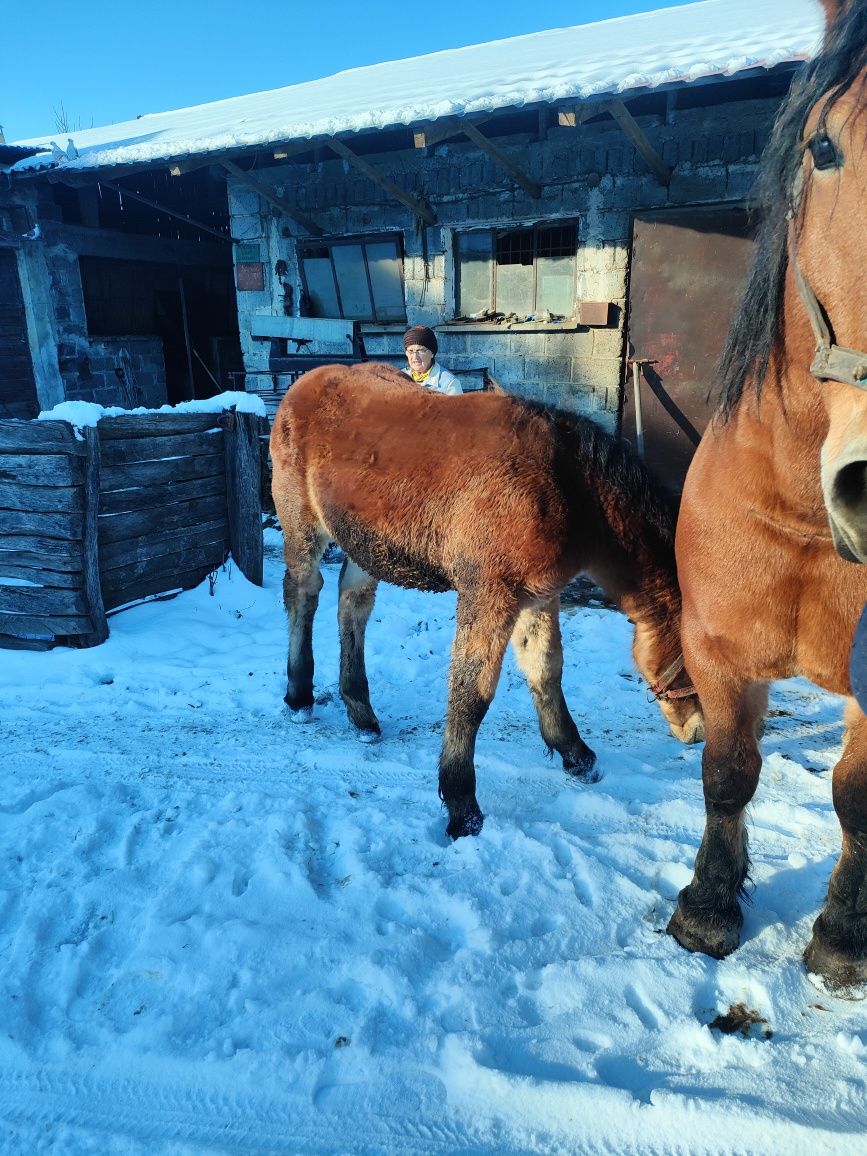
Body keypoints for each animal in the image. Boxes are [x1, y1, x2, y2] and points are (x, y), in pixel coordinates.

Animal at [271, 362, 707, 841]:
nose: (698, 730)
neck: (568, 487)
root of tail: (304, 382)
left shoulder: (538, 596)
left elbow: (546, 668)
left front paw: (576, 754)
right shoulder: (488, 595)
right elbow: (472, 692)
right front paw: (462, 805)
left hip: (365, 544)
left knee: (353, 601)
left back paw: (361, 713)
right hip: (302, 526)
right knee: (302, 592)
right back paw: (299, 697)